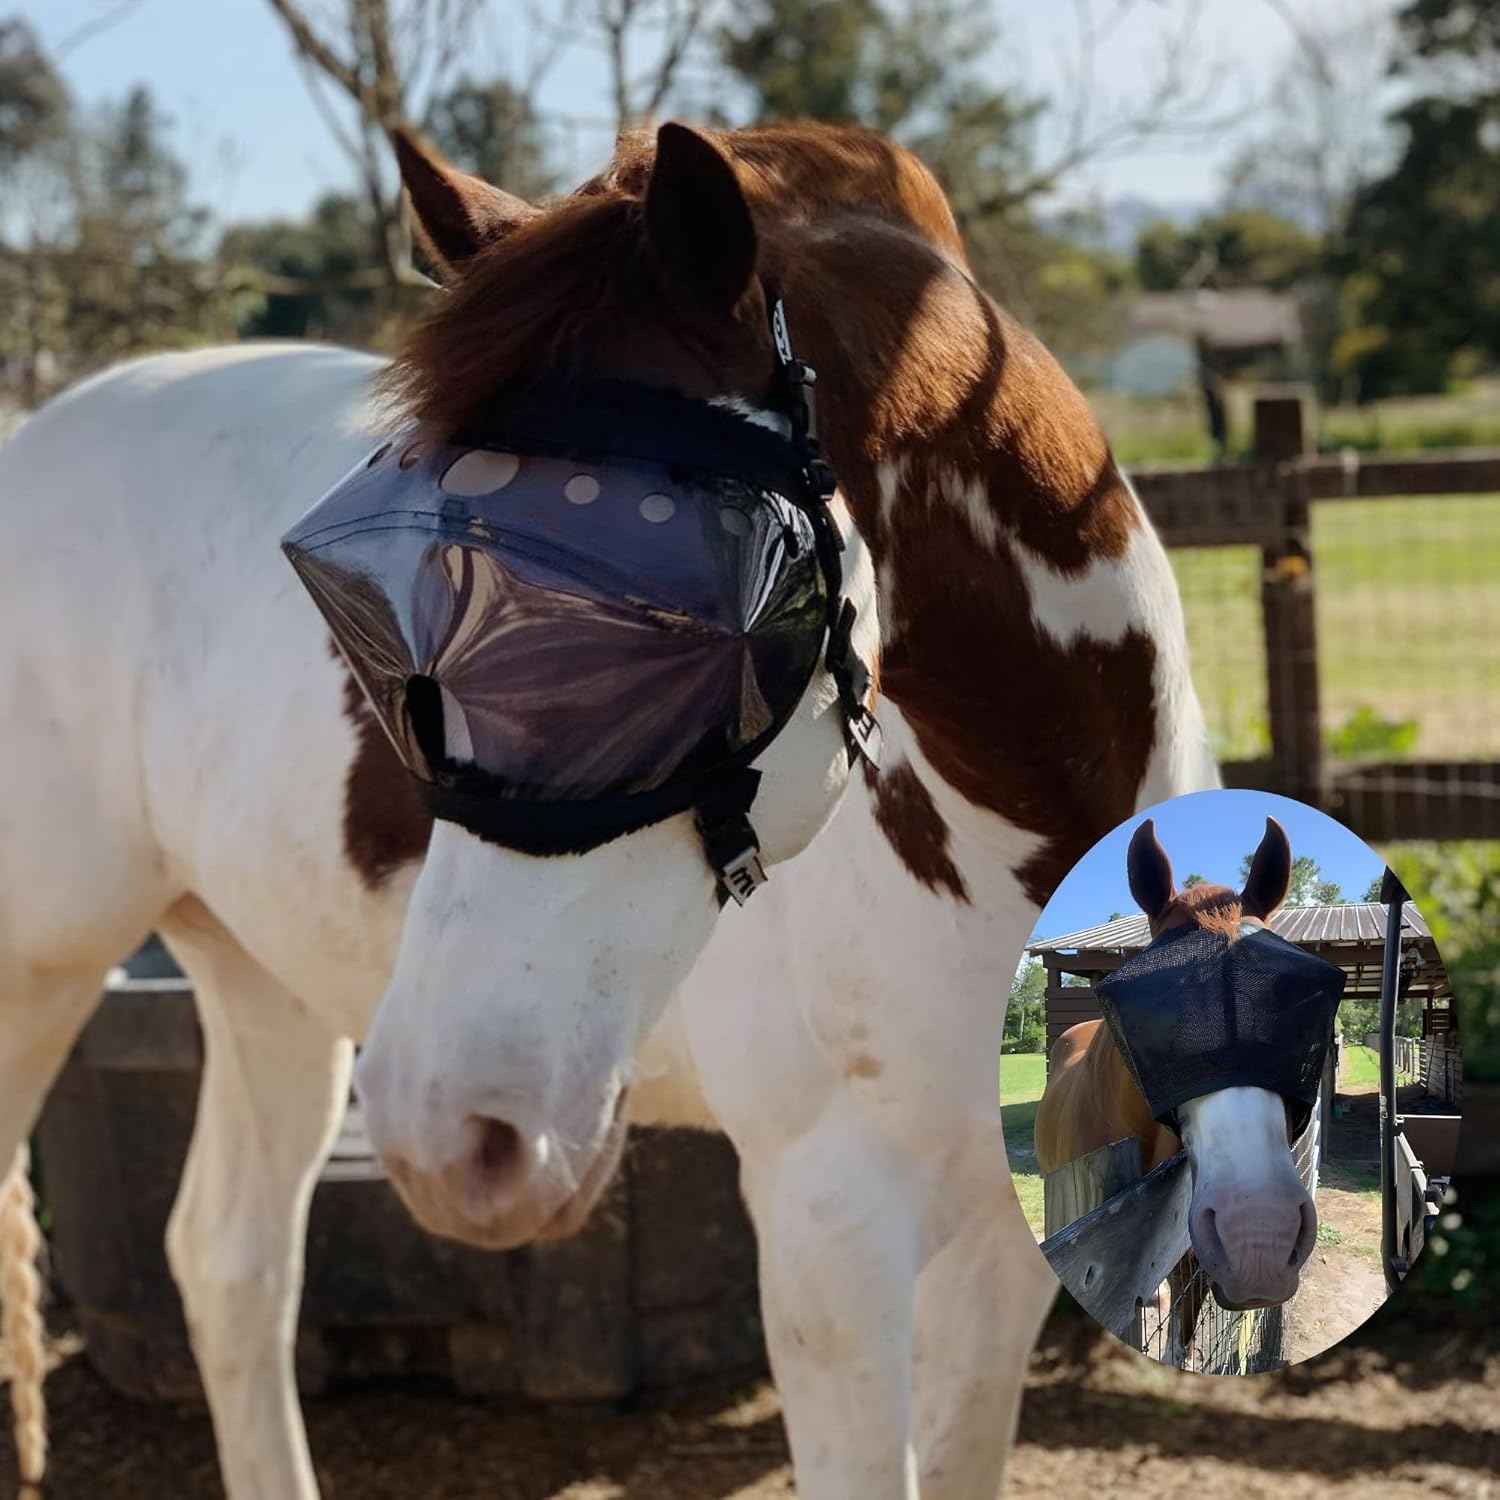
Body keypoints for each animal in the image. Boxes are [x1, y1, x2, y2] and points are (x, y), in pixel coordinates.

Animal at [0, 120, 1217, 1499]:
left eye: (682, 616)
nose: (453, 1128)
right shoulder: (833, 1230)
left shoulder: (999, 1234)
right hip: (48, 971)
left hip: (263, 984)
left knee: (229, 1262)